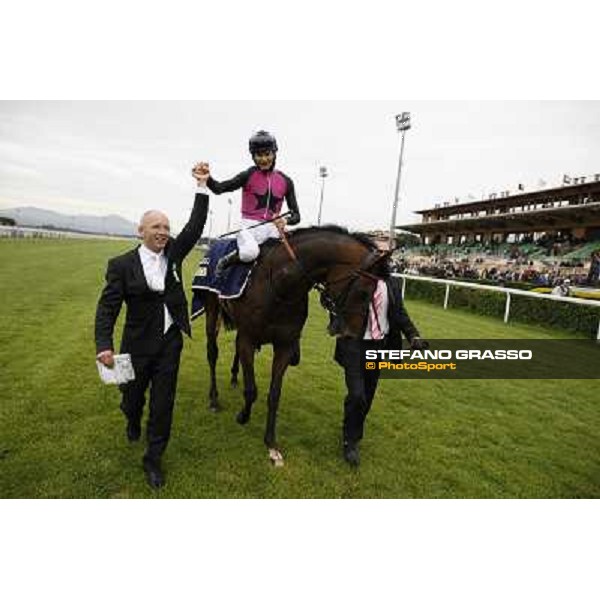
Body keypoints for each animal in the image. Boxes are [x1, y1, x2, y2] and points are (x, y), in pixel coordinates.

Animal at [202, 225, 390, 464]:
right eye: (365, 292)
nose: (352, 334)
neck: (280, 285)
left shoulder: (285, 345)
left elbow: (274, 394)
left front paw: (271, 443)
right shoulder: (248, 338)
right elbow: (252, 389)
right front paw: (243, 416)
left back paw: (235, 377)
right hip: (211, 309)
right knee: (212, 353)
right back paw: (214, 399)